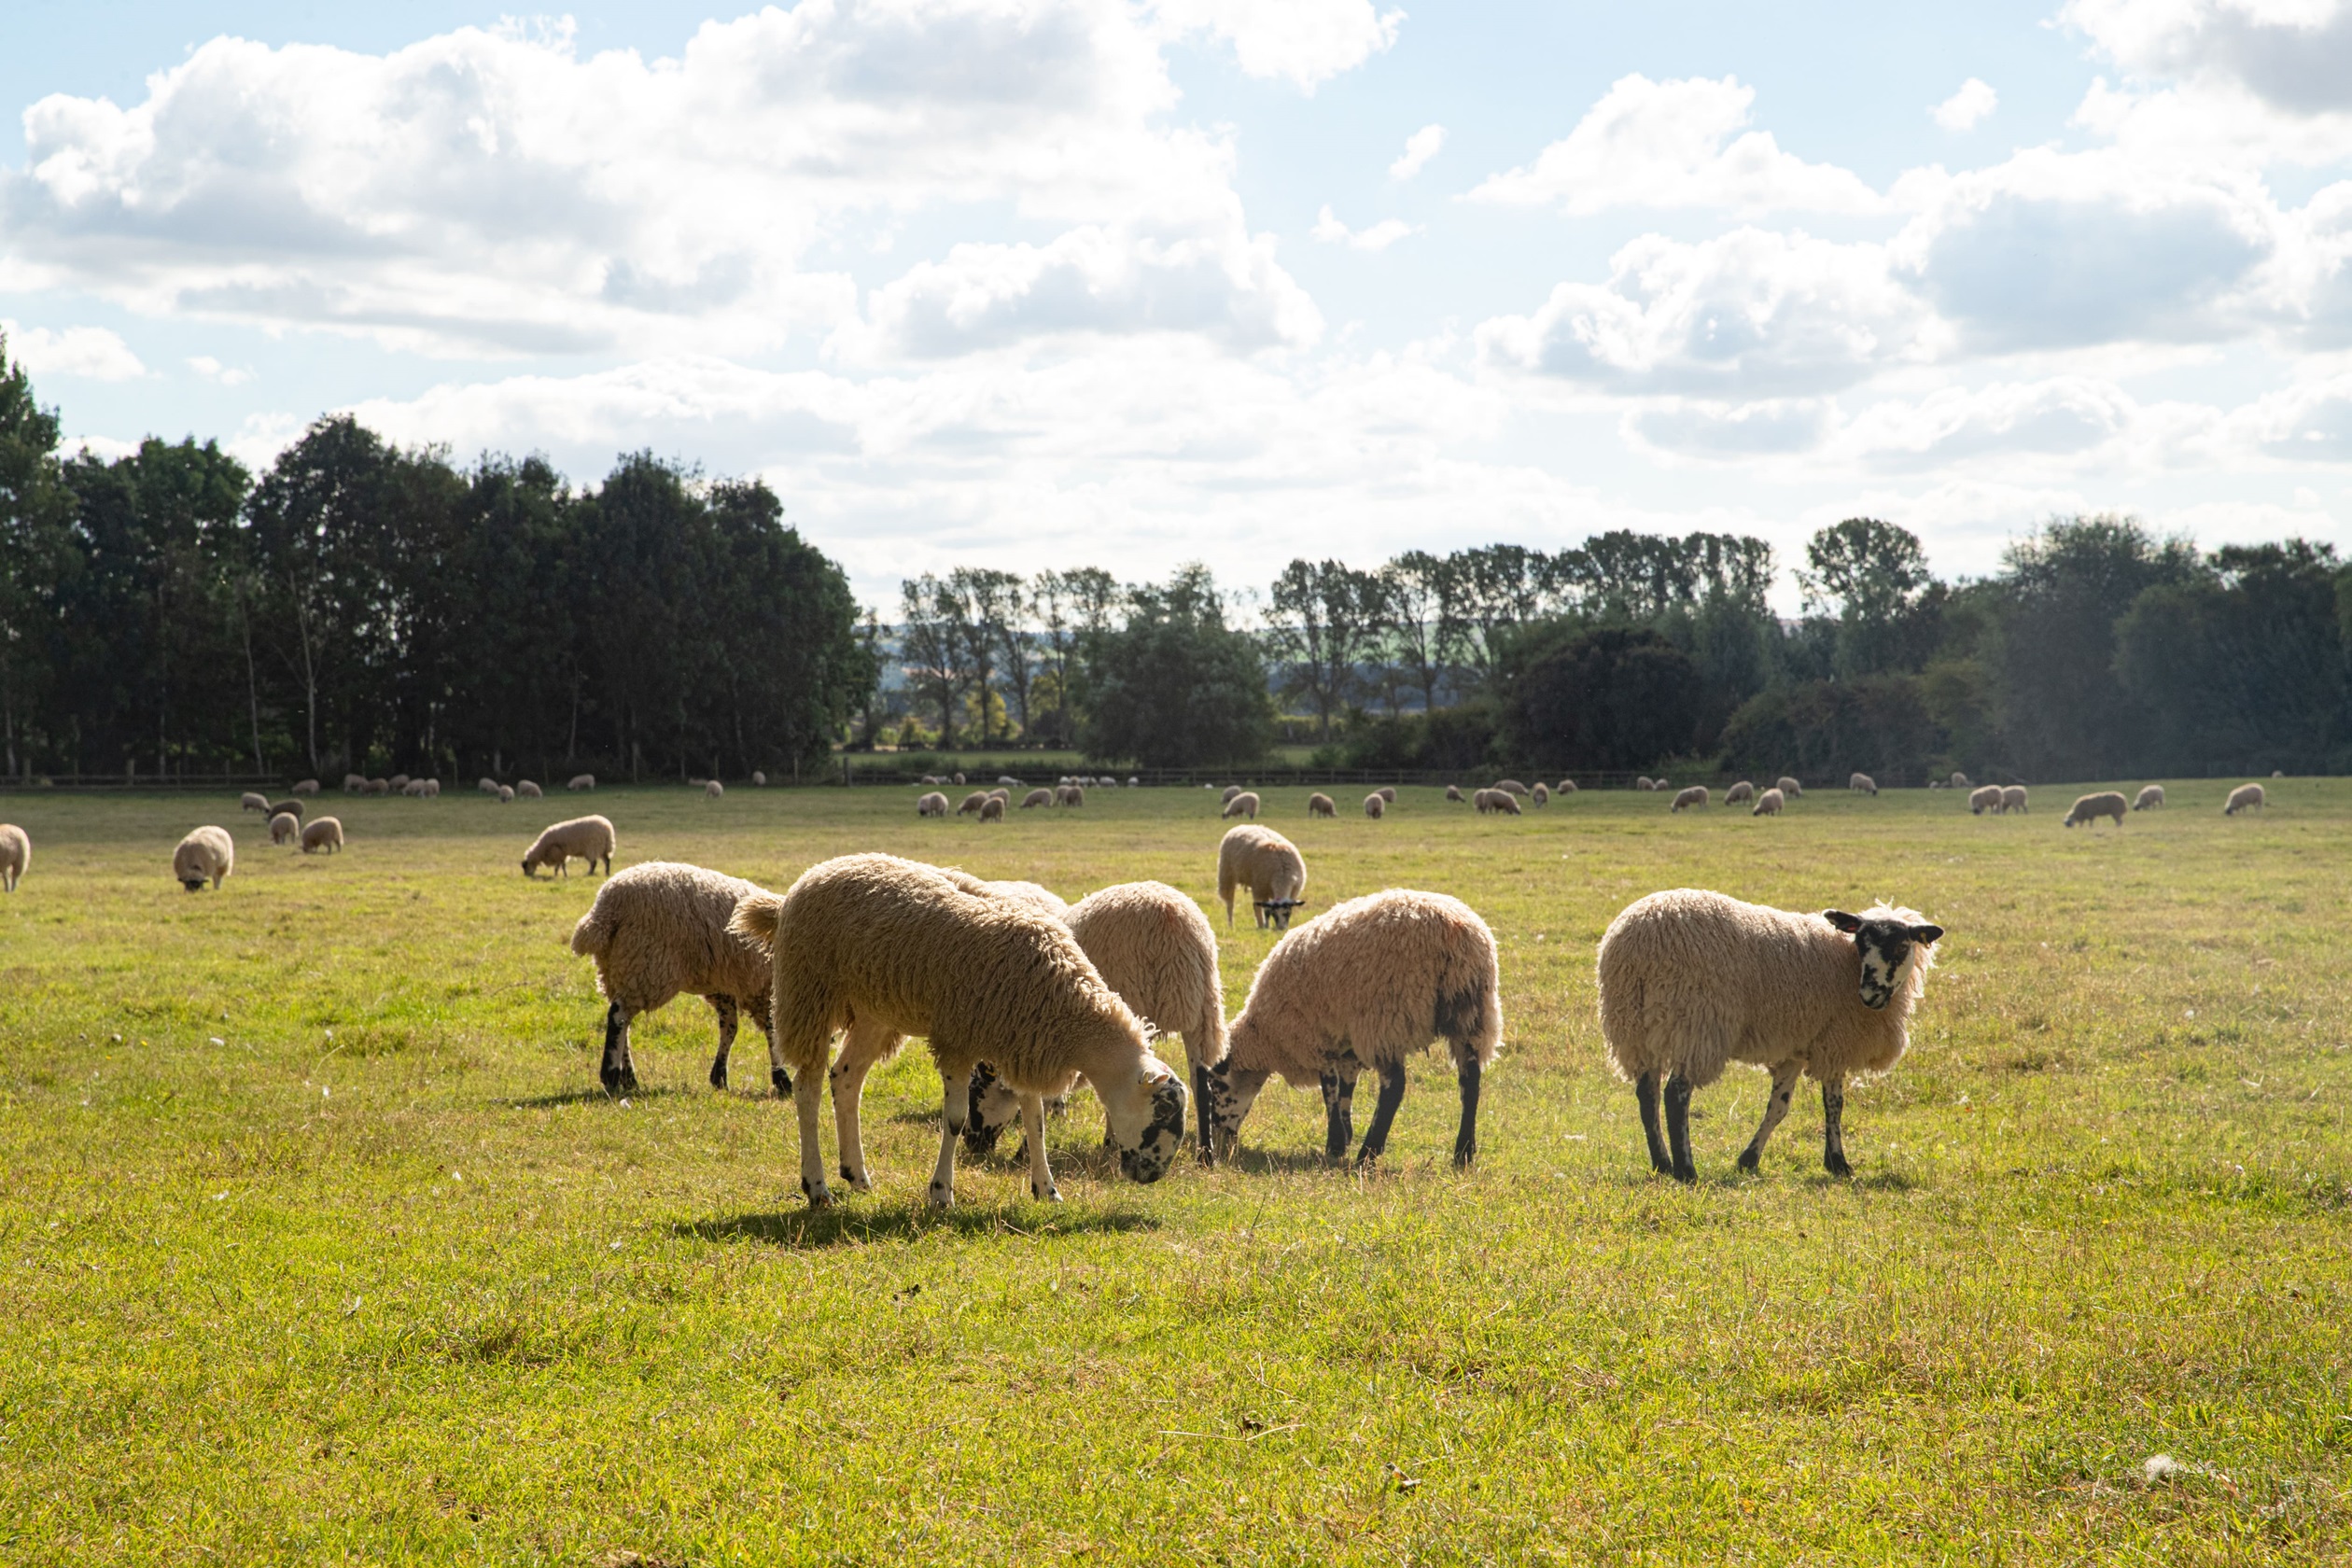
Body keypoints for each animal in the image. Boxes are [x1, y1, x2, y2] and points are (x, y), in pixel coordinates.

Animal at [569, 861, 784, 1097]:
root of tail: (605, 909)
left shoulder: (723, 989)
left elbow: (730, 1028)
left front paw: (719, 1077)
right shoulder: (765, 989)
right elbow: (772, 1031)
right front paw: (782, 1079)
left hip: (616, 970)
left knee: (624, 1022)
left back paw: (630, 1078)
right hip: (646, 965)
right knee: (618, 1016)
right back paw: (611, 1074)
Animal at [727, 853, 1188, 1207]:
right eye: (1163, 1111)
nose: (1151, 1176)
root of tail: (793, 893)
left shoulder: (1019, 1040)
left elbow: (1035, 1118)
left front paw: (1047, 1189)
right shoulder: (957, 1039)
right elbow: (954, 1119)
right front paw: (941, 1193)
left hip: (875, 1011)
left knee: (845, 1079)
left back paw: (856, 1174)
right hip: (810, 993)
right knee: (807, 1088)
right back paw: (817, 1186)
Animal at [967, 879, 1229, 1165]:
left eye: (978, 1087)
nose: (972, 1143)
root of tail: (1167, 917)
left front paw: (1026, 1149)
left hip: (1135, 997)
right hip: (1199, 1004)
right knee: (1200, 1083)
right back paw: (1205, 1154)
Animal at [1205, 889, 1501, 1169]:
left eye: (1215, 1085)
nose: (1219, 1136)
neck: (1264, 1036)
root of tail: (1455, 933)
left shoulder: (1315, 1039)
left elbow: (1329, 1090)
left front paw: (1335, 1143)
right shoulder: (1344, 1045)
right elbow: (1345, 1090)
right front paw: (1343, 1136)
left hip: (1386, 1017)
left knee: (1394, 1087)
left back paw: (1368, 1154)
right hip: (1472, 1016)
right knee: (1470, 1083)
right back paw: (1463, 1153)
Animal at [1596, 889, 1943, 1181]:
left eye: (1902, 947)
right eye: (1861, 943)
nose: (1870, 995)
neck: (1845, 962)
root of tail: (1637, 943)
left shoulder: (1796, 1047)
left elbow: (1778, 1107)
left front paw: (1748, 1159)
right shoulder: (1833, 1041)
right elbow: (1834, 1104)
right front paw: (1838, 1162)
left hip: (1636, 1028)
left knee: (1647, 1094)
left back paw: (1662, 1164)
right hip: (1693, 1022)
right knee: (1675, 1094)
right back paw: (1686, 1170)